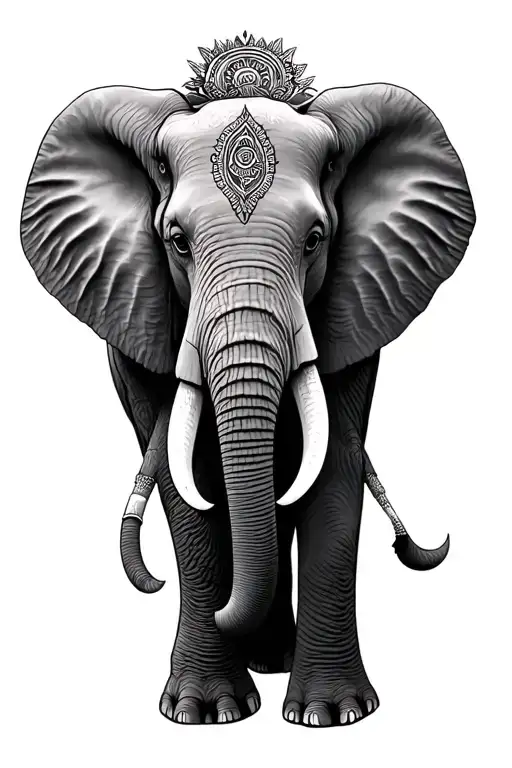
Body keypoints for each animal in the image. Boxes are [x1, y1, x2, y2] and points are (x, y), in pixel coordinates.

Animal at [20, 35, 475, 727]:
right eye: (176, 242)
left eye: (315, 240)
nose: (149, 579)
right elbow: (187, 480)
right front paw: (203, 712)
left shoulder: (357, 301)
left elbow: (333, 465)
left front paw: (333, 714)